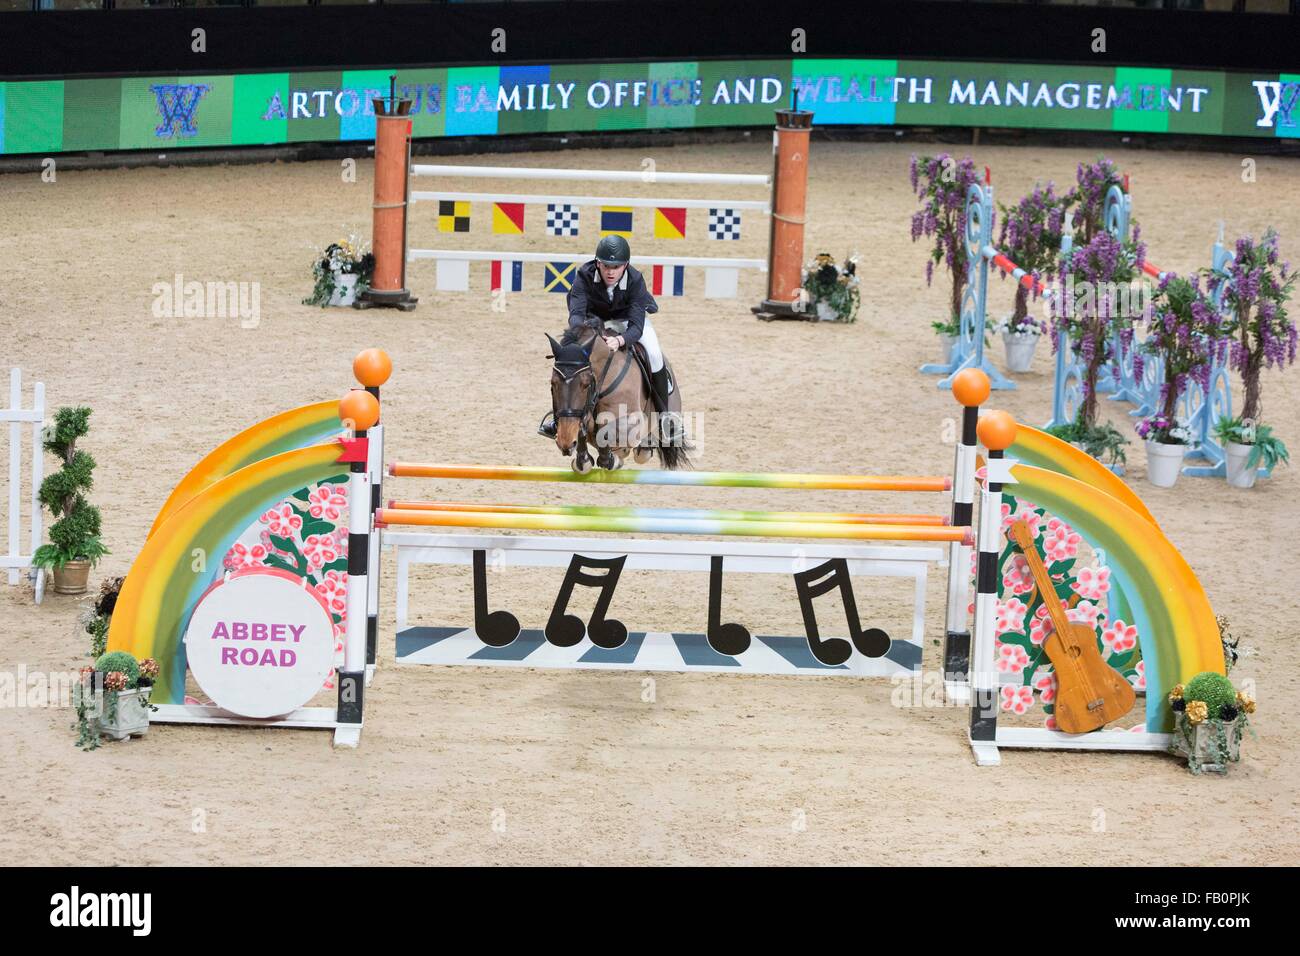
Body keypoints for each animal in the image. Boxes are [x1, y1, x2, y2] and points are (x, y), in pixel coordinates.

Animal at [548, 319, 691, 473]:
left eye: (585, 384)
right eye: (553, 383)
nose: (565, 441)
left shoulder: (632, 420)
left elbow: (606, 431)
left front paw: (609, 459)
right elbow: (585, 431)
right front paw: (583, 460)